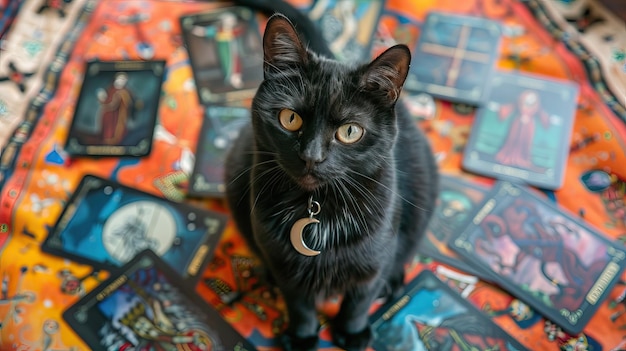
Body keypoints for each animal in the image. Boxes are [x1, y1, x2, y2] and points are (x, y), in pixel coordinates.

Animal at [225, 4, 438, 350]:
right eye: (290, 118)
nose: (312, 156)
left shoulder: (374, 260)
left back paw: (391, 285)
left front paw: (352, 333)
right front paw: (302, 336)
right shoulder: (284, 263)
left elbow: (359, 301)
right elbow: (298, 303)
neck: (319, 207)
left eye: (349, 131)